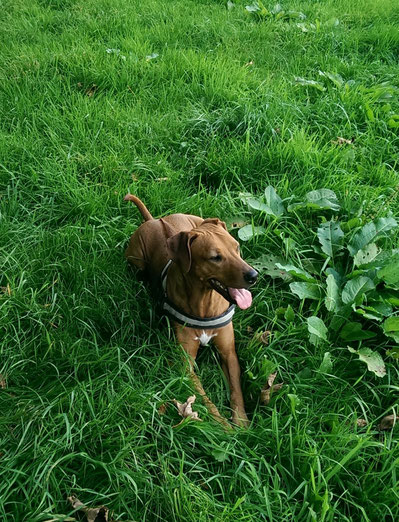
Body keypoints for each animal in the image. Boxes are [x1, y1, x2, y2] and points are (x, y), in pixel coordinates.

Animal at [123, 193, 260, 424]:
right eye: (215, 257)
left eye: (237, 247)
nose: (254, 275)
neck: (204, 303)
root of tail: (154, 220)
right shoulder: (186, 363)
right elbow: (205, 399)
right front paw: (222, 425)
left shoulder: (229, 352)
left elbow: (236, 390)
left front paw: (241, 423)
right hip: (136, 260)